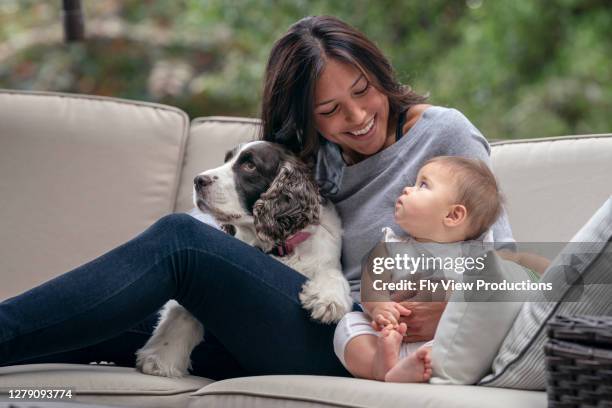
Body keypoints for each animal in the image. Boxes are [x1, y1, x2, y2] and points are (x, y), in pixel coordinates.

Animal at [136, 142, 352, 378]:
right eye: (226, 160)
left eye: (250, 165)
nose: (198, 180)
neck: (276, 247)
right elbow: (182, 311)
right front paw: (161, 357)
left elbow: (331, 273)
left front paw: (328, 300)